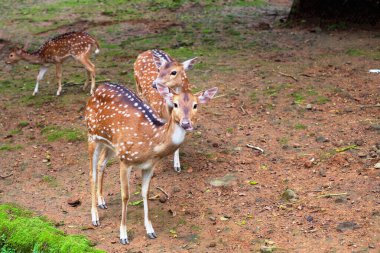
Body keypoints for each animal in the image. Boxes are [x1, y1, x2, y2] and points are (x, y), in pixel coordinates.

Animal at [85, 81, 218, 243]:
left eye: (195, 105)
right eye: (175, 104)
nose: (186, 123)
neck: (152, 143)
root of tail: (99, 87)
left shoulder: (149, 166)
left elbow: (145, 193)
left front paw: (150, 230)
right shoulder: (125, 159)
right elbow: (125, 196)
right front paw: (123, 235)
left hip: (111, 144)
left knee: (101, 163)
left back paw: (102, 201)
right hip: (92, 134)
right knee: (91, 173)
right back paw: (95, 217)